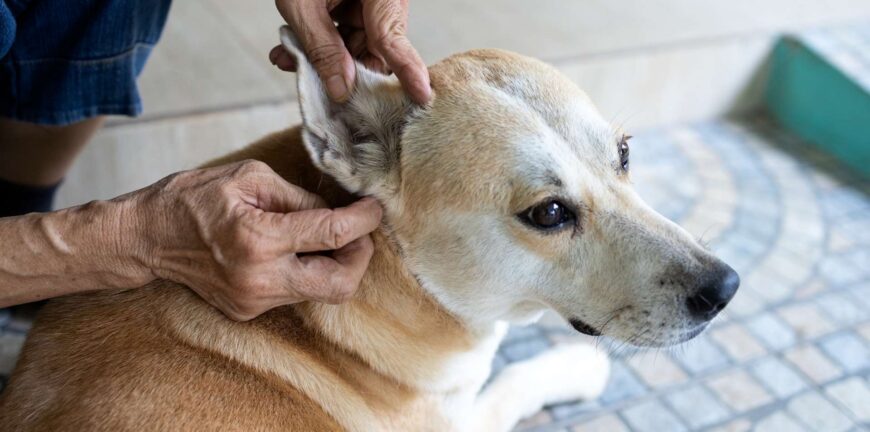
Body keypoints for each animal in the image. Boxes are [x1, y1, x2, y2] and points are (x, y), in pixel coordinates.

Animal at [0, 28, 744, 430]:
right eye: (549, 214)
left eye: (625, 154)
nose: (726, 288)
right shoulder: (459, 419)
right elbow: (510, 385)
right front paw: (575, 366)